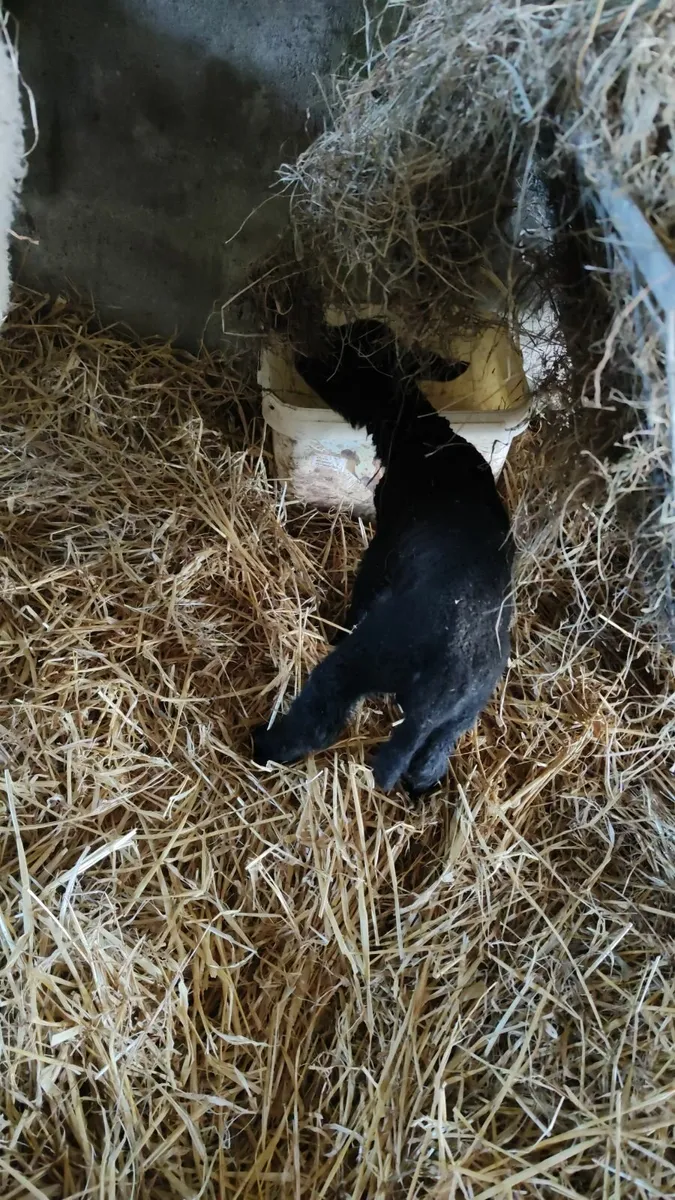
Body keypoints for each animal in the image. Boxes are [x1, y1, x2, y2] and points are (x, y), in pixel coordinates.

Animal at [252, 323, 514, 795]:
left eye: (351, 354)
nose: (303, 355)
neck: (420, 435)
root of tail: (442, 693)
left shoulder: (385, 539)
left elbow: (366, 585)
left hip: (367, 659)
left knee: (320, 714)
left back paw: (264, 745)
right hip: (456, 722)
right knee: (429, 762)